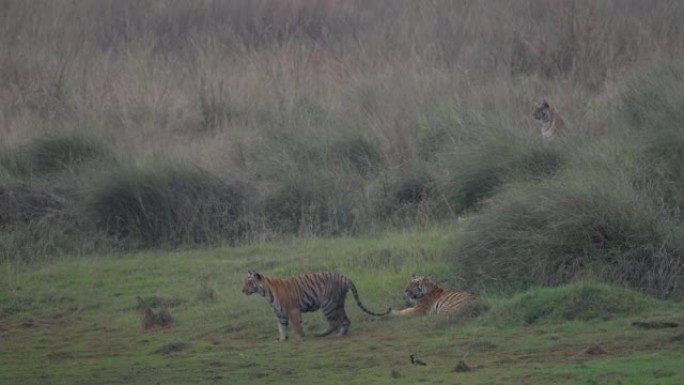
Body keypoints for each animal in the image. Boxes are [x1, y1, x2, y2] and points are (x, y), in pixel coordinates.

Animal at [240, 268, 390, 340]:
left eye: (249, 282)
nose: (242, 290)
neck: (266, 293)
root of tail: (345, 277)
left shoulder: (293, 310)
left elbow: (296, 326)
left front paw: (300, 338)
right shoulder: (280, 313)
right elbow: (282, 327)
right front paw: (283, 339)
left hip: (328, 304)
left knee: (335, 322)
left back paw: (322, 334)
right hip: (338, 303)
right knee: (345, 320)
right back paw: (340, 334)